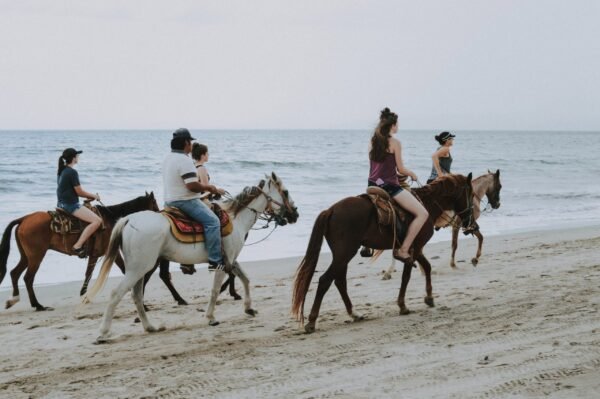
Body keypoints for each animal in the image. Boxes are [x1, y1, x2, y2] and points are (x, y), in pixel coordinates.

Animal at [0, 194, 185, 312]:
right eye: (154, 204)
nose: (163, 215)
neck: (111, 219)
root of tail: (24, 219)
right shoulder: (107, 253)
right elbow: (117, 271)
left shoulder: (99, 255)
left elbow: (90, 273)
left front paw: (84, 294)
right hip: (36, 256)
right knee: (28, 278)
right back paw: (37, 305)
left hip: (26, 256)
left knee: (15, 273)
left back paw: (14, 300)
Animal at [82, 173, 298, 344]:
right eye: (286, 192)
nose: (295, 214)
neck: (235, 218)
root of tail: (128, 219)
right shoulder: (222, 262)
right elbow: (215, 290)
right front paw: (210, 317)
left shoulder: (231, 260)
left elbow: (245, 279)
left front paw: (249, 308)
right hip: (139, 267)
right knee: (117, 294)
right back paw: (103, 333)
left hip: (141, 268)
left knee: (137, 296)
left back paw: (150, 327)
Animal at [290, 173, 474, 332]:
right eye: (471, 195)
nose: (469, 221)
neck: (427, 204)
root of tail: (331, 210)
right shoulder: (414, 248)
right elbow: (407, 276)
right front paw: (403, 305)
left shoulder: (415, 248)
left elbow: (427, 267)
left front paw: (429, 297)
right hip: (344, 254)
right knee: (325, 280)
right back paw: (312, 321)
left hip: (342, 255)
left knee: (339, 281)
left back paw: (354, 313)